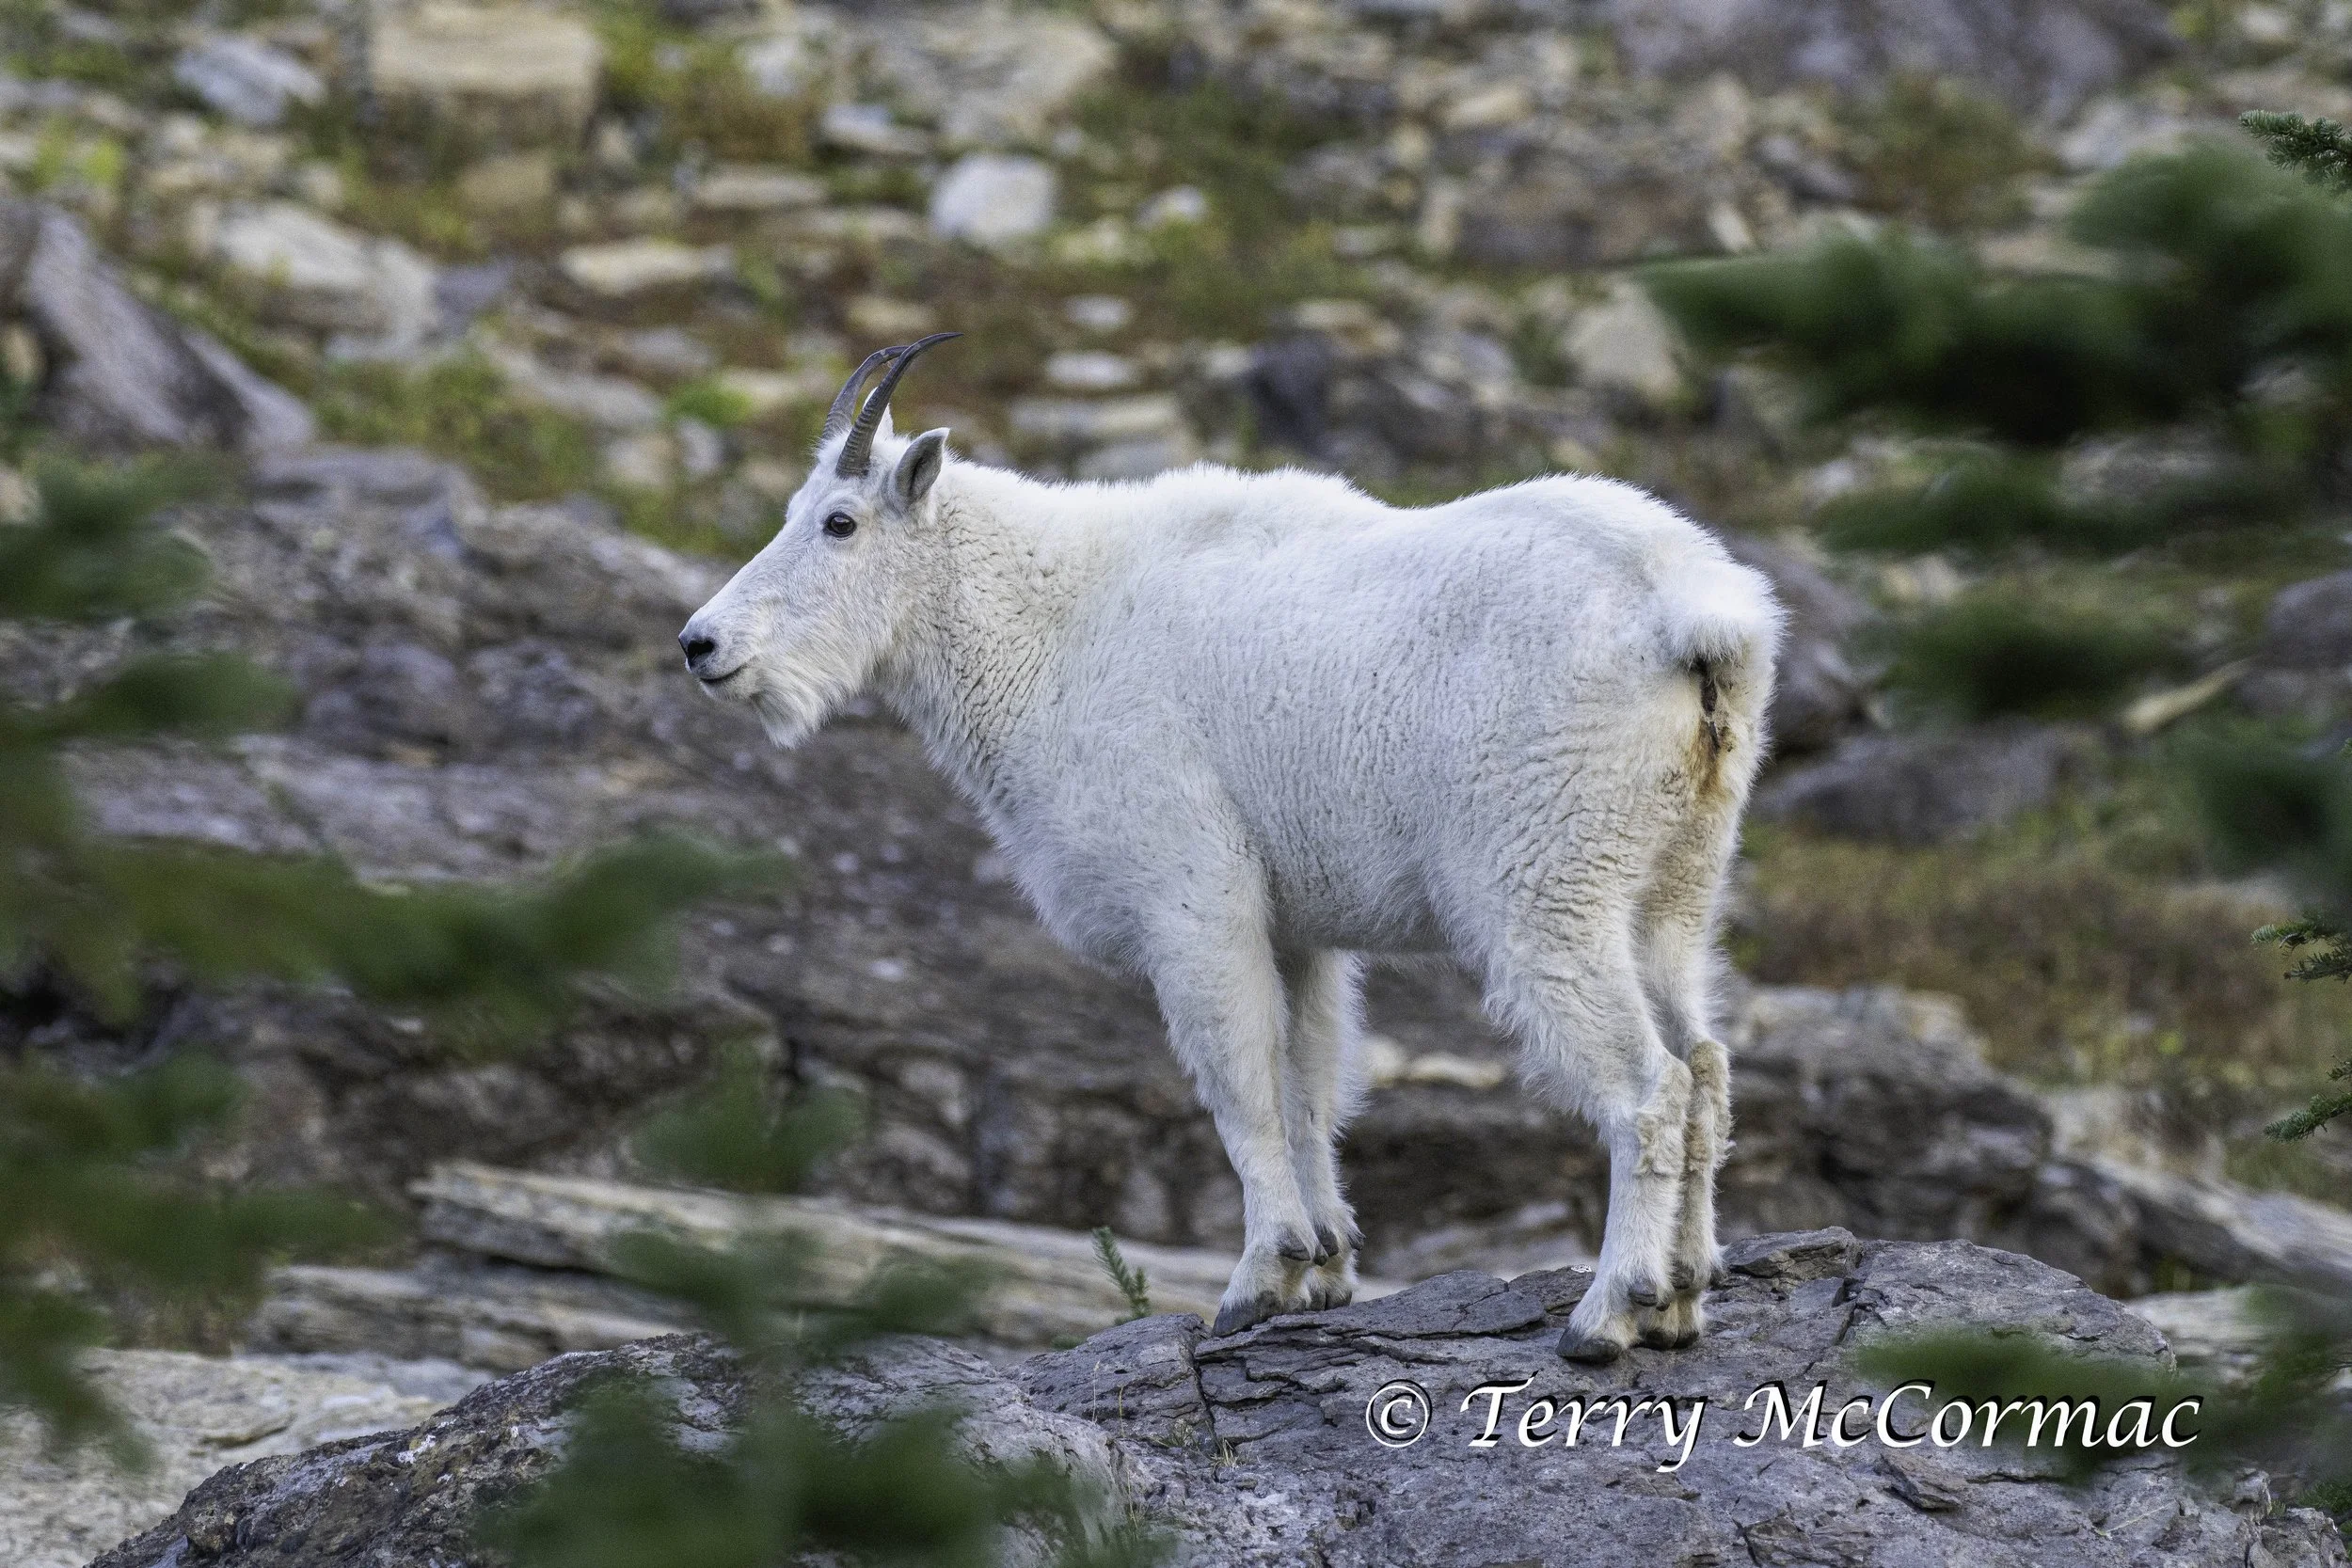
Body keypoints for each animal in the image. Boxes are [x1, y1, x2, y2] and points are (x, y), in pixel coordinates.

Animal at [678, 337, 1782, 1359]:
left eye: (839, 521)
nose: (700, 644)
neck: (1050, 626)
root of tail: (1690, 616)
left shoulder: (1190, 894)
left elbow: (1239, 1082)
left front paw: (1260, 1276)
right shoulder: (1296, 926)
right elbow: (1308, 1082)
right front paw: (1327, 1266)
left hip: (1545, 879)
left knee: (1649, 1089)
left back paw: (1610, 1310)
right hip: (1675, 877)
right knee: (1707, 1067)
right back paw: (1684, 1297)